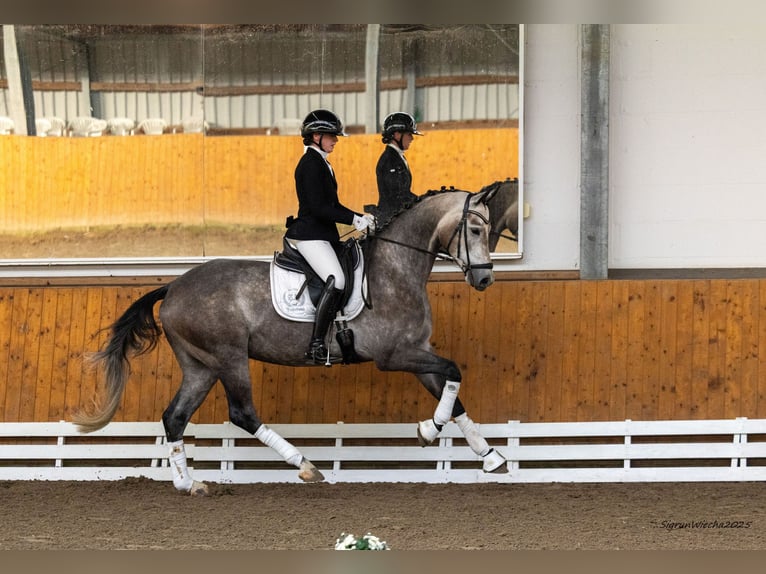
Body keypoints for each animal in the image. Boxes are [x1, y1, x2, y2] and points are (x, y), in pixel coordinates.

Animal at [73, 186, 507, 495]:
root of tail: (174, 286)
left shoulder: (418, 351)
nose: (485, 278)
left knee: (175, 416)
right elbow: (454, 371)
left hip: (201, 365)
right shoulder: (394, 355)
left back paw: (189, 483)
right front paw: (430, 431)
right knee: (243, 414)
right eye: (475, 229)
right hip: (228, 358)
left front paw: (489, 456)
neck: (395, 269)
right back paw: (306, 466)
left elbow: (453, 390)